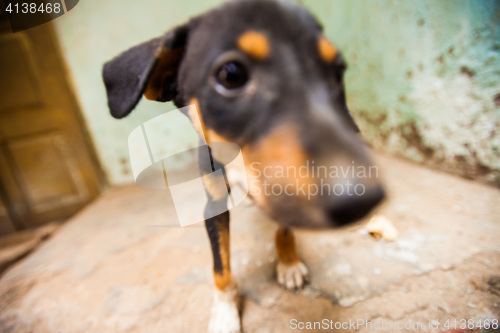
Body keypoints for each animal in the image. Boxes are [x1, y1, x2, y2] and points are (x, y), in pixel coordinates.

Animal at [101, 1, 382, 330]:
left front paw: (288, 263)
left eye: (337, 71)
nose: (361, 198)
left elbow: (284, 230)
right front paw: (225, 314)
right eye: (231, 74)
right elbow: (221, 269)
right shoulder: (213, 205)